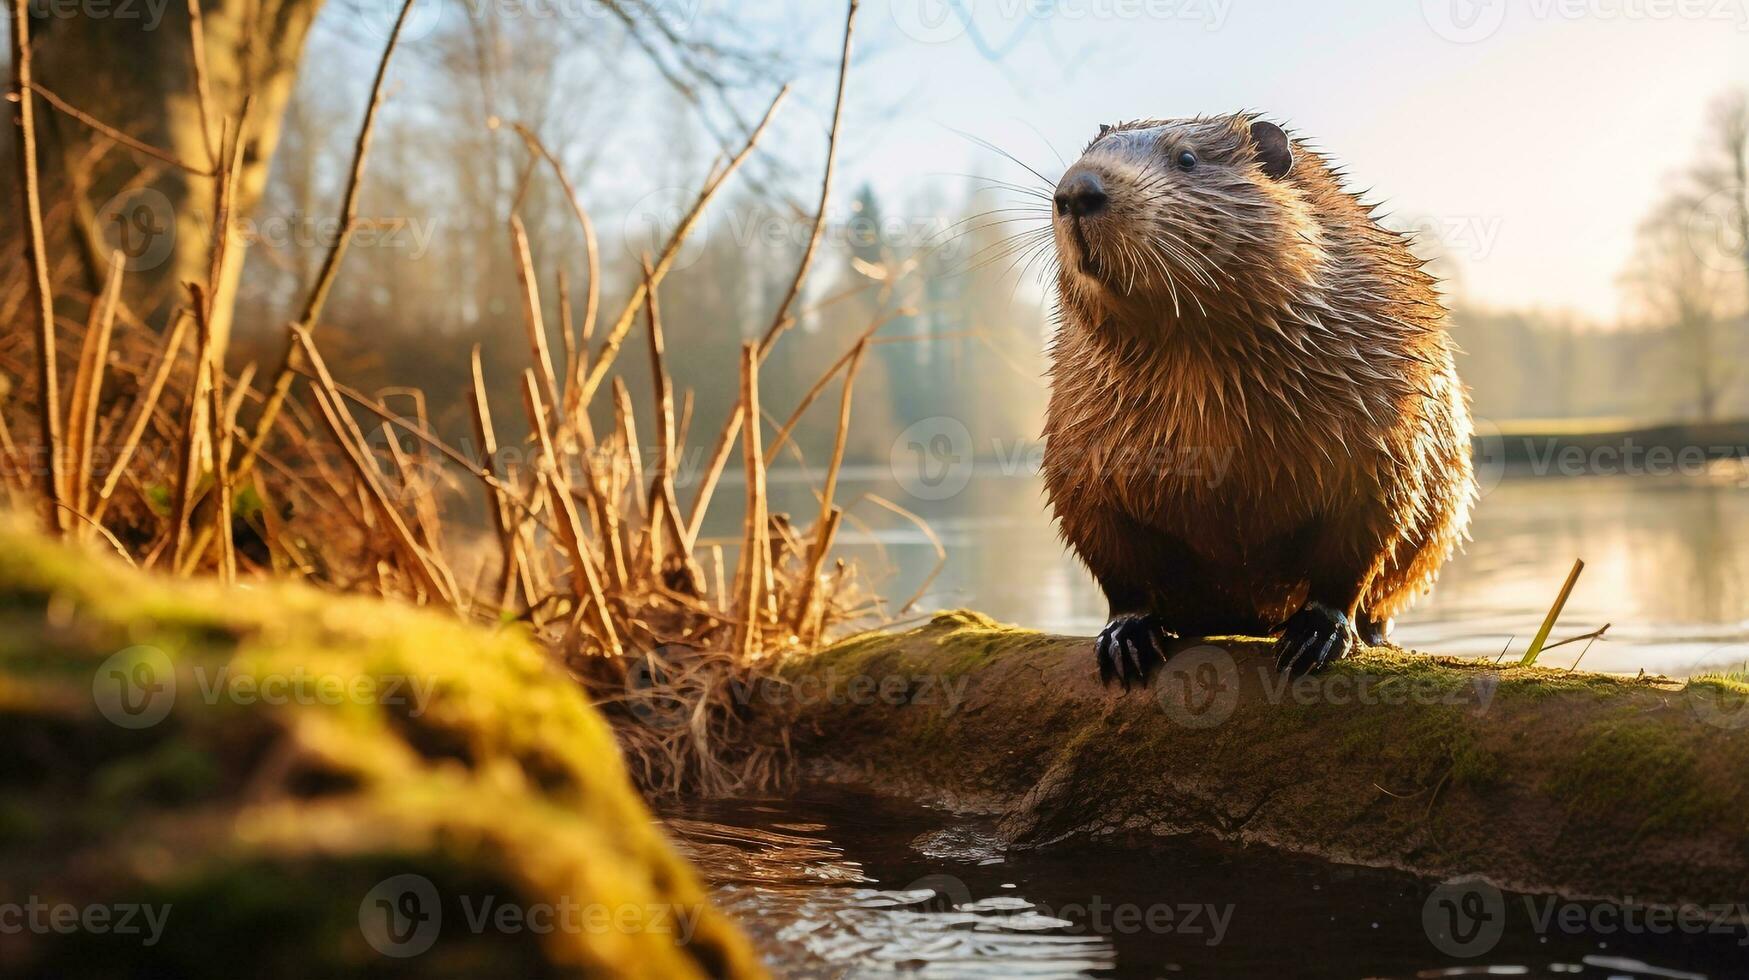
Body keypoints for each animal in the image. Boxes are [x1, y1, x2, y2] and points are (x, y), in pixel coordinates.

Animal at [1035, 112, 1476, 682]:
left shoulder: (1391, 396)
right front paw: (1124, 637)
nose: (1077, 190)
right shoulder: (1076, 421)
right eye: (1083, 155)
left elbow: (1366, 526)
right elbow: (1102, 534)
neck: (1197, 370)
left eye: (1187, 158)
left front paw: (1317, 635)